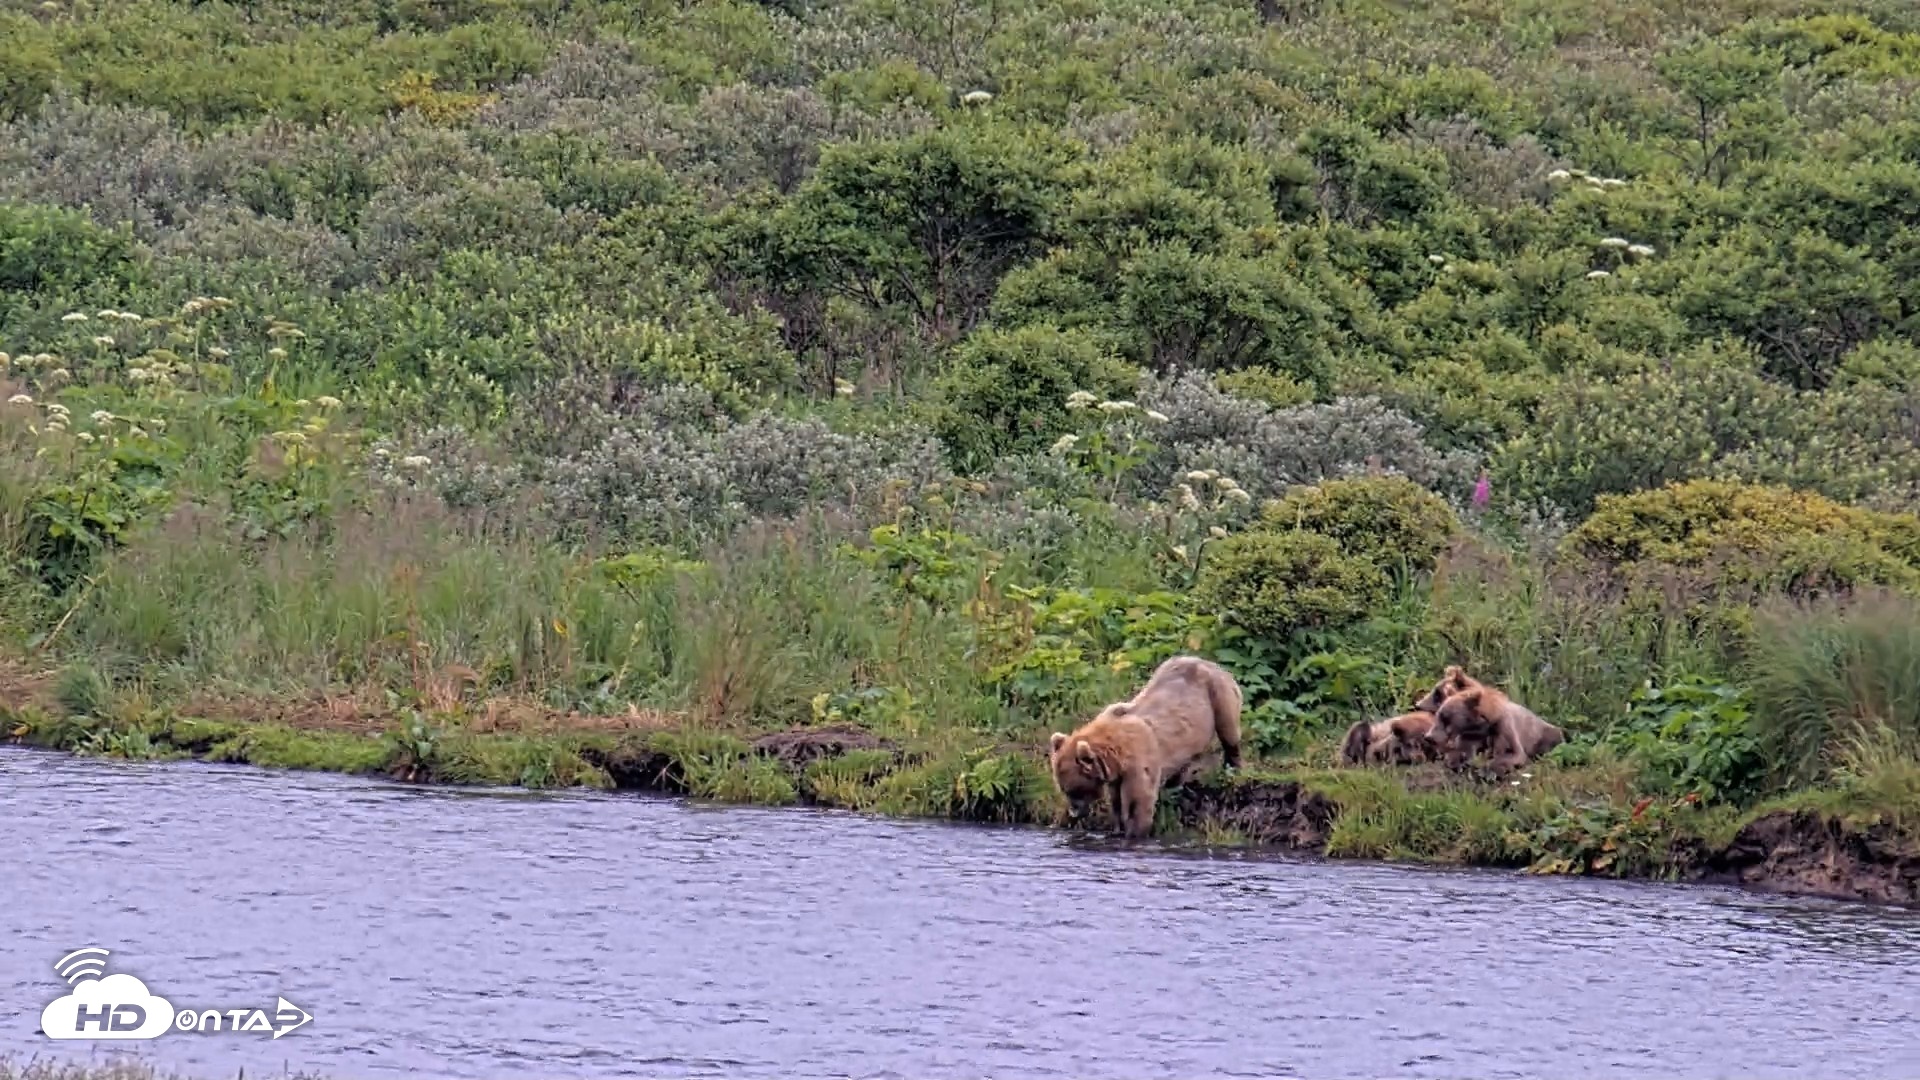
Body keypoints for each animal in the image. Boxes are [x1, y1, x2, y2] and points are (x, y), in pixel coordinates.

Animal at [1047, 654, 1244, 841]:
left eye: (1074, 790)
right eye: (1064, 789)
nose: (1073, 812)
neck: (1117, 754)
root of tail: (1209, 662)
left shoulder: (1138, 762)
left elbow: (1139, 801)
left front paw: (1134, 832)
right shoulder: (1115, 774)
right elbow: (1117, 801)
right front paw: (1117, 828)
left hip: (1218, 694)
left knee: (1229, 732)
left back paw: (1232, 767)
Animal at [1418, 665, 1564, 772]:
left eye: (1436, 693)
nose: (1418, 704)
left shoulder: (1503, 727)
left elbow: (1512, 753)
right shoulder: (1469, 736)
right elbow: (1461, 751)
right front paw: (1456, 761)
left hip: (1545, 734)